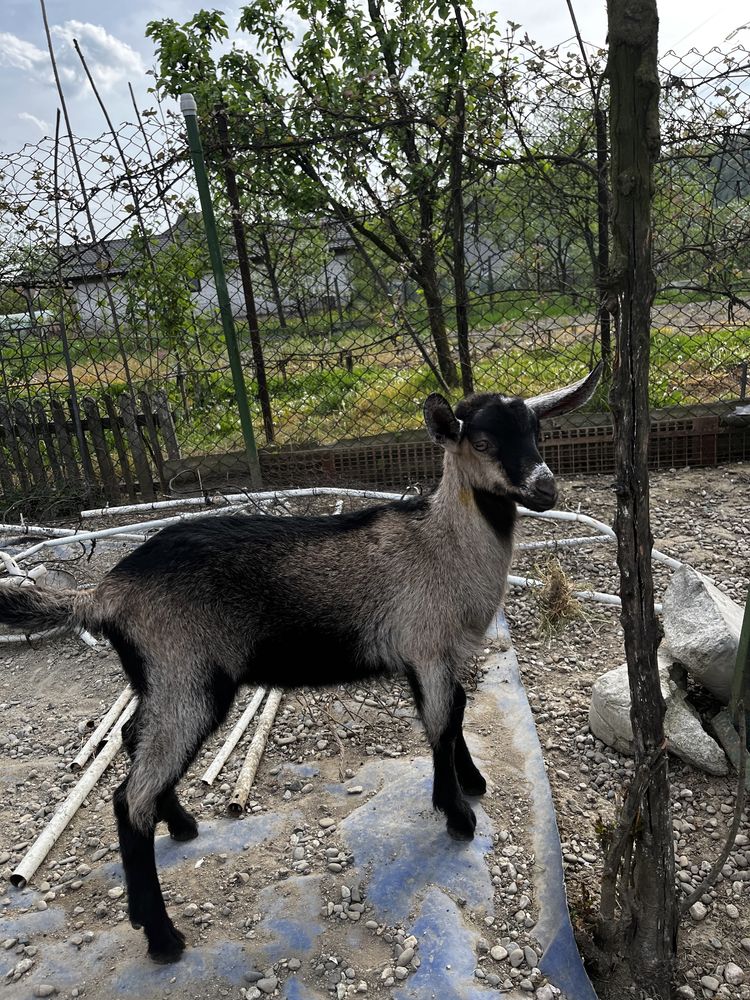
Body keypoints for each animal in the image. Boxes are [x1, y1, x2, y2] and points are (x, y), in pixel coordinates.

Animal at [0, 364, 604, 964]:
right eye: (481, 441)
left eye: (537, 431)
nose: (545, 488)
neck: (441, 545)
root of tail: (105, 593)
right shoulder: (428, 646)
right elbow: (440, 723)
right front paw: (458, 816)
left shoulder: (436, 655)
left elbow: (453, 717)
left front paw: (469, 783)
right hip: (188, 678)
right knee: (132, 798)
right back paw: (162, 935)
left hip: (160, 678)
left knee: (129, 739)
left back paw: (183, 826)